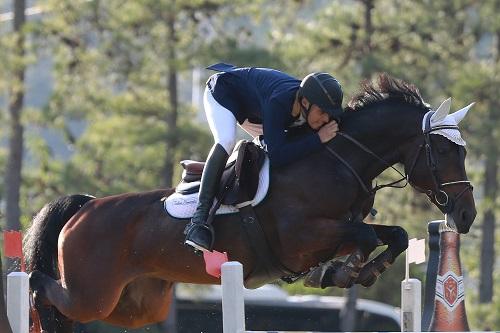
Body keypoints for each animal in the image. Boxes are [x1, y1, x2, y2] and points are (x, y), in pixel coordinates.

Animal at [23, 74, 476, 330]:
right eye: (443, 150)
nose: (467, 214)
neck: (337, 160)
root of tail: (85, 208)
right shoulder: (303, 237)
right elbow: (364, 236)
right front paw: (343, 272)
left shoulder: (337, 230)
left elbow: (391, 234)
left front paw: (351, 272)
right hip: (92, 293)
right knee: (39, 286)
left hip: (135, 304)